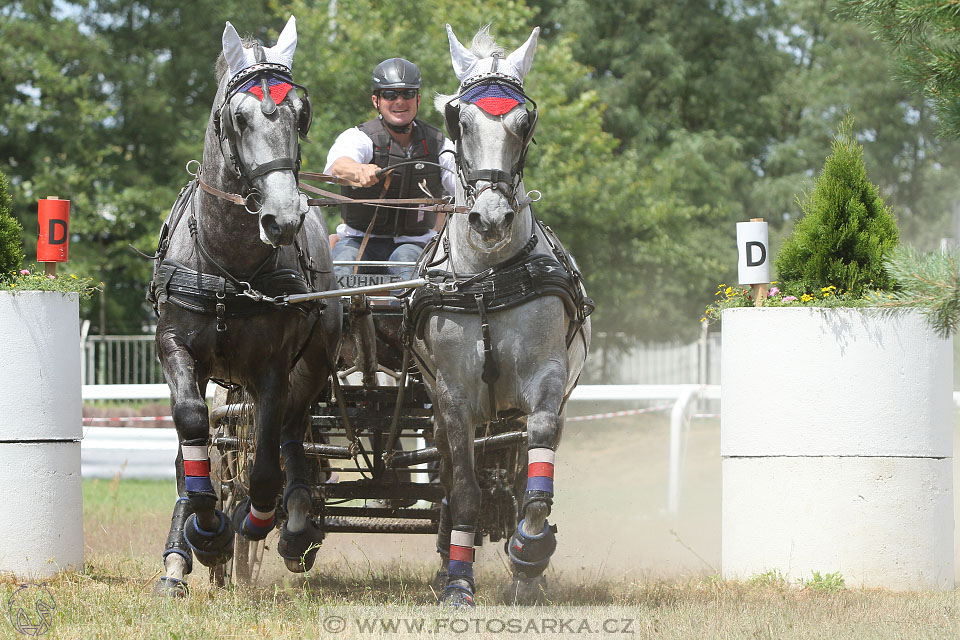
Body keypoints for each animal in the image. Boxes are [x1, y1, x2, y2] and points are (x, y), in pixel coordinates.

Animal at [150, 16, 342, 596]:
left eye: (300, 114)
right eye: (237, 117)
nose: (284, 217)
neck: (229, 266)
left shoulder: (273, 366)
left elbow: (264, 464)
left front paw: (252, 521)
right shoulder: (176, 348)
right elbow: (192, 430)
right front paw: (207, 535)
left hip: (311, 365)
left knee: (290, 436)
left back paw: (294, 527)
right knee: (200, 449)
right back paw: (181, 557)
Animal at [410, 23, 592, 604]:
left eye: (523, 122)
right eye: (460, 120)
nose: (490, 219)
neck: (486, 280)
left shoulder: (546, 379)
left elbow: (536, 484)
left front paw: (529, 555)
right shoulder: (452, 394)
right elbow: (465, 490)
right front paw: (457, 582)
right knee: (449, 476)